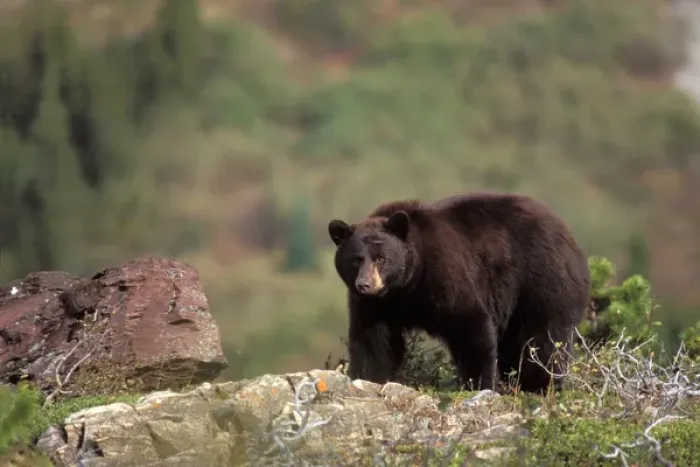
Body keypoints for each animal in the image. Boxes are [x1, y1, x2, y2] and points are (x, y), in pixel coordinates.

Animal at [327, 192, 591, 394]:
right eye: (356, 259)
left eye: (381, 258)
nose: (365, 285)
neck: (406, 286)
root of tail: (568, 234)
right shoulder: (375, 307)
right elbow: (374, 341)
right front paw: (368, 378)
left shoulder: (445, 275)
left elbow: (470, 326)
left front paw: (478, 384)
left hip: (541, 279)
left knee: (544, 337)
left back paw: (538, 385)